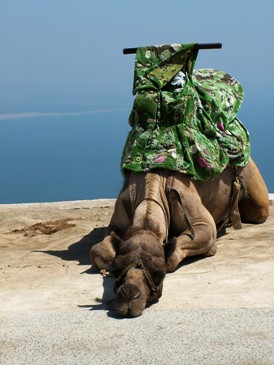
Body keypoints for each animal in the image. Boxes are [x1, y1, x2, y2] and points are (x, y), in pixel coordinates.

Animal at [90, 159, 270, 316]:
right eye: (117, 270)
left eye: (160, 273)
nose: (130, 294)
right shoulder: (118, 220)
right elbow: (98, 250)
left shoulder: (192, 209)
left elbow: (181, 248)